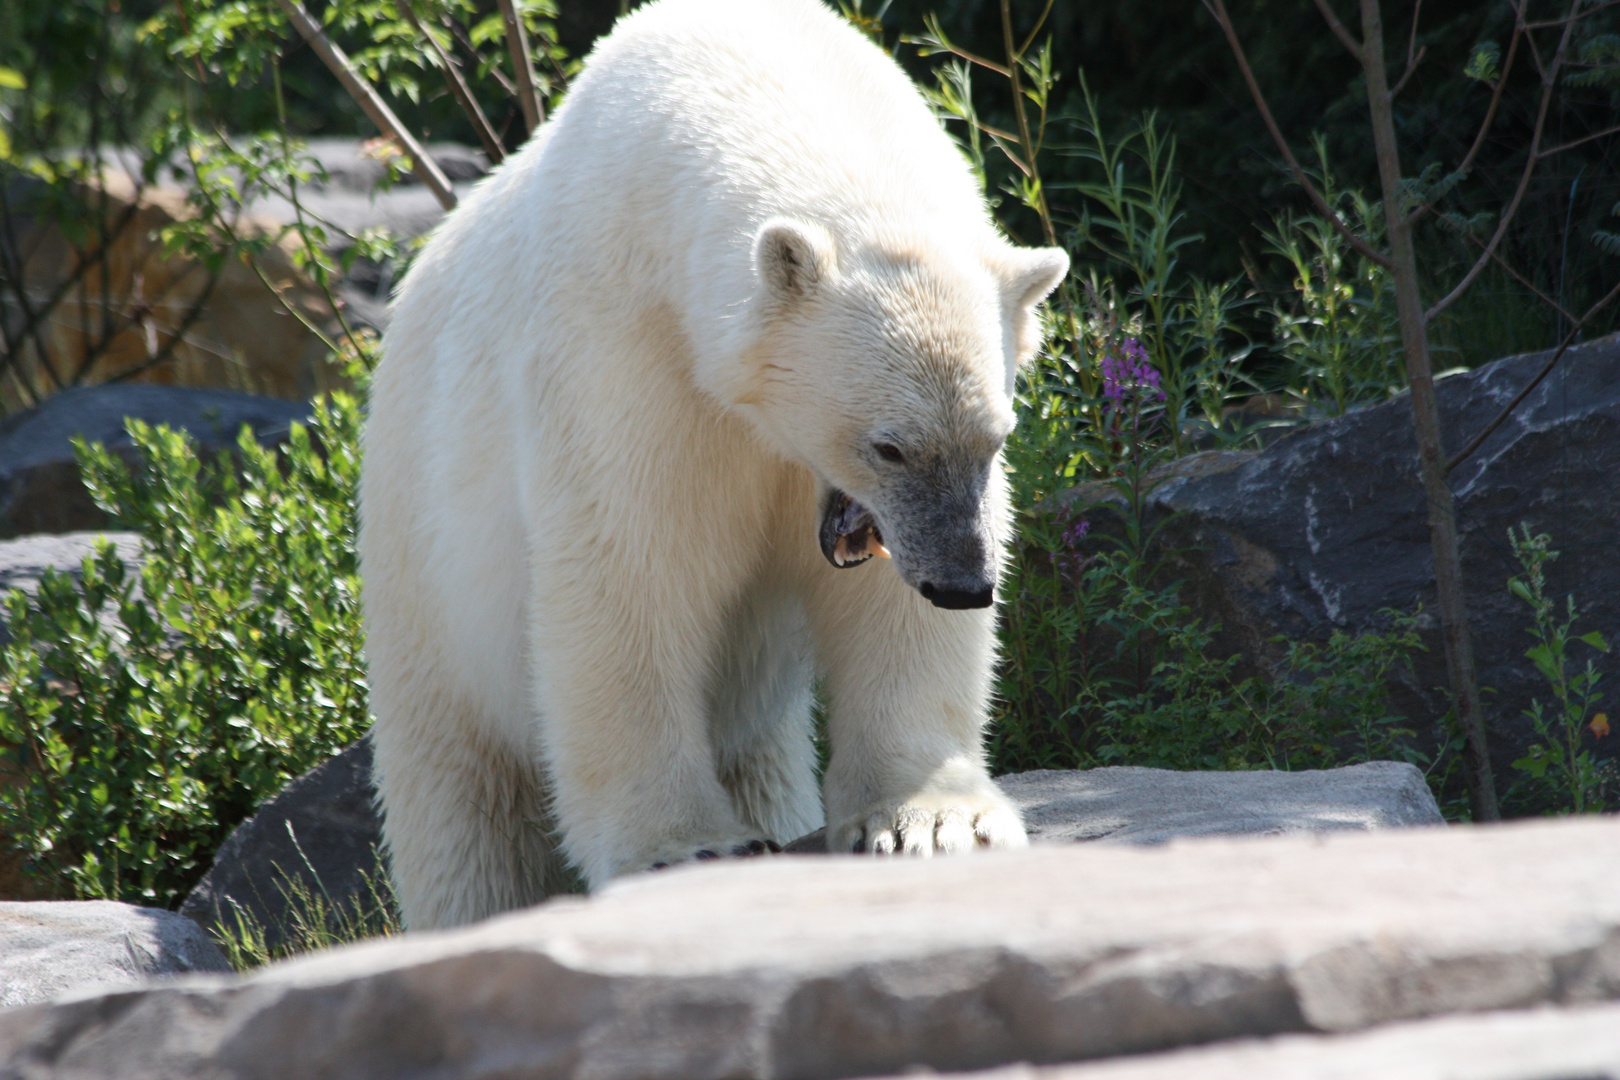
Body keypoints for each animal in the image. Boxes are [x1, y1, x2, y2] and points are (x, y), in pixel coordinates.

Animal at [361, 0, 1069, 932]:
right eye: (888, 444)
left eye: (995, 435)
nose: (963, 584)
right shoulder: (626, 361)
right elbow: (628, 575)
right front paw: (684, 848)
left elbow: (883, 606)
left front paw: (934, 821)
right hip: (422, 575)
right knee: (462, 805)